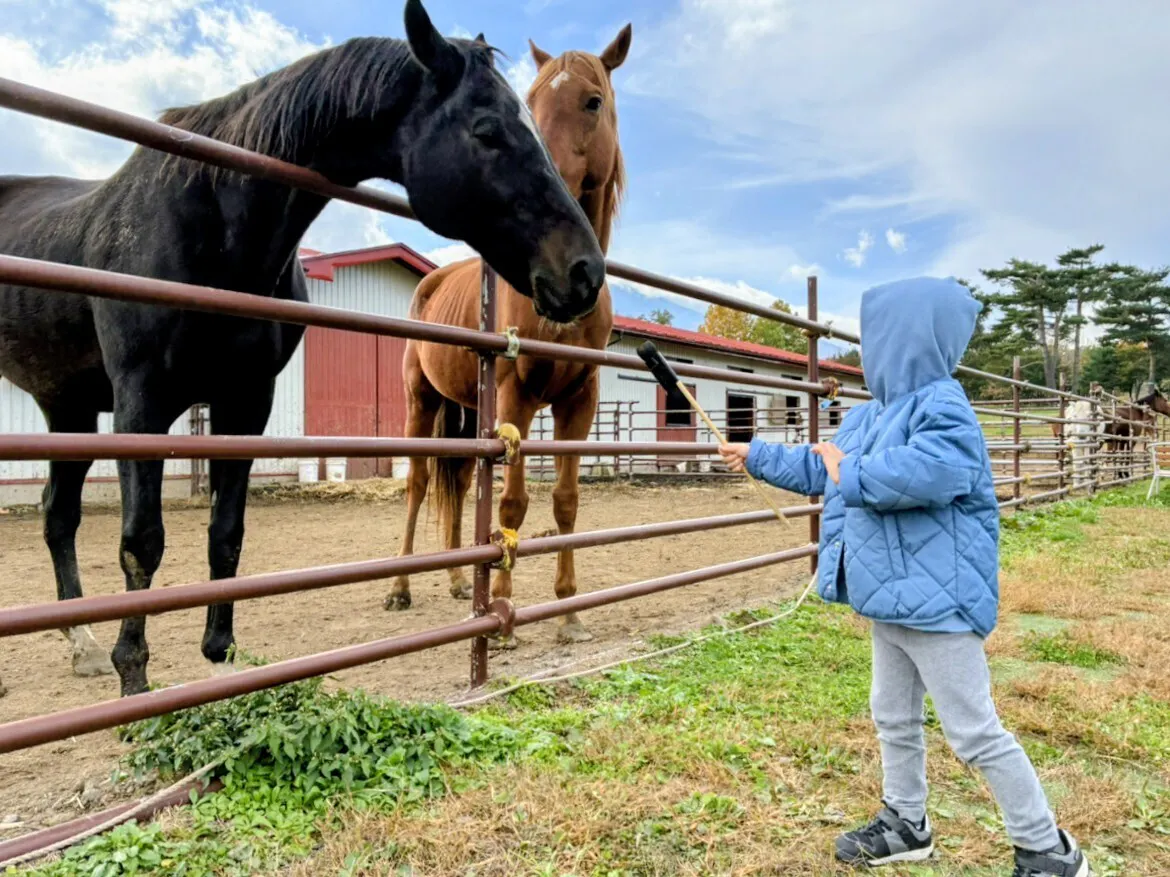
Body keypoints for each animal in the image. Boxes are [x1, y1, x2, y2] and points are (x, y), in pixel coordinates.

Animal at [0, 0, 604, 698]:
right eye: (486, 130)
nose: (585, 272)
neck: (211, 224)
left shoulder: (246, 404)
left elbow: (227, 533)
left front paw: (220, 657)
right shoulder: (140, 404)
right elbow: (141, 541)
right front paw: (135, 678)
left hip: (67, 408)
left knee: (57, 516)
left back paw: (83, 643)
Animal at [387, 25, 632, 647]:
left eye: (592, 101)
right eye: (533, 100)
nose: (547, 187)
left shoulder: (579, 401)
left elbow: (566, 502)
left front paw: (568, 611)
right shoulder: (516, 398)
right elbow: (512, 504)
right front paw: (503, 612)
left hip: (465, 410)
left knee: (455, 484)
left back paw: (456, 581)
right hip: (421, 400)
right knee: (419, 482)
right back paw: (399, 586)